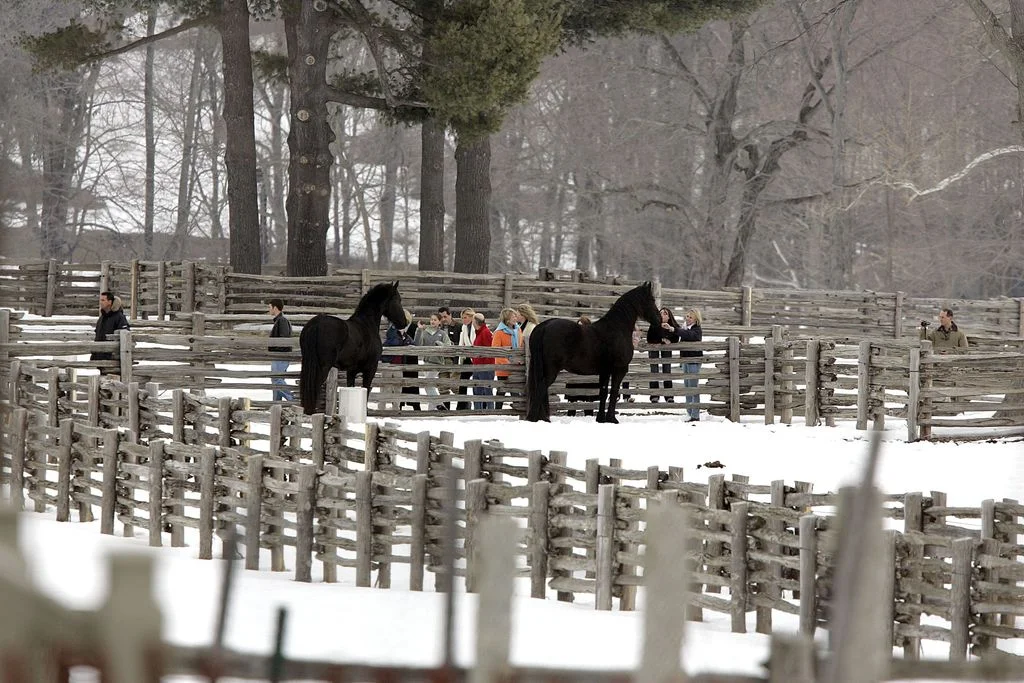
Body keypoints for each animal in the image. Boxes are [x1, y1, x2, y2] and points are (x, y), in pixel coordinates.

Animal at [299, 281, 407, 415]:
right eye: (398, 300)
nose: (404, 323)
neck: (367, 324)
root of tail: (315, 324)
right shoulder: (370, 369)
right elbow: (366, 391)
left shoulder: (351, 371)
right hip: (322, 367)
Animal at [525, 281, 662, 424]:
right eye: (652, 300)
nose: (659, 319)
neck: (617, 328)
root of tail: (544, 326)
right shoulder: (618, 370)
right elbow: (613, 392)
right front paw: (612, 419)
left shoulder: (604, 371)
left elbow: (603, 393)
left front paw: (600, 419)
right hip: (551, 370)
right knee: (541, 388)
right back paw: (533, 418)